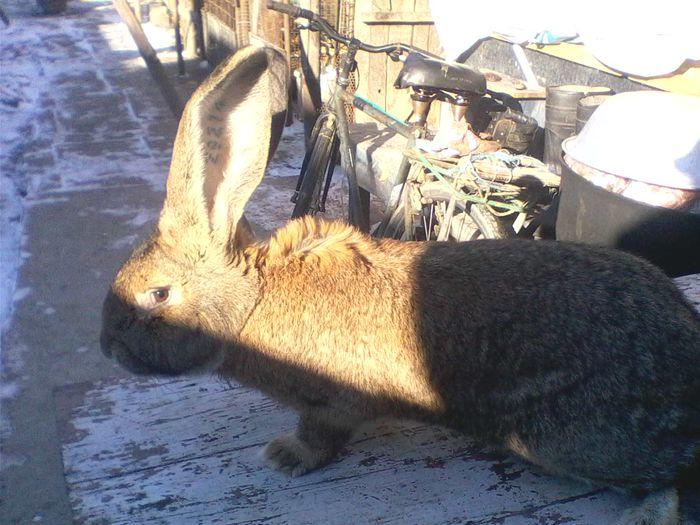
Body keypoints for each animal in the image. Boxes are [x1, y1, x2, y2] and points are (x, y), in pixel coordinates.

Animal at [100, 46, 700, 524]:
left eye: (158, 294)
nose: (108, 348)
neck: (253, 299)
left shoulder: (329, 404)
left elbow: (321, 435)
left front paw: (285, 456)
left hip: (567, 438)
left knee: (667, 475)